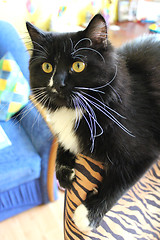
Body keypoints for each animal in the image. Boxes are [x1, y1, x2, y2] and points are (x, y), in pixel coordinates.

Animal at [26, 14, 160, 232]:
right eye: (47, 67)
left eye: (78, 66)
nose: (57, 84)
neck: (76, 111)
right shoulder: (64, 133)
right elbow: (63, 144)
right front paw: (64, 173)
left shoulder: (144, 152)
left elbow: (118, 184)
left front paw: (89, 213)